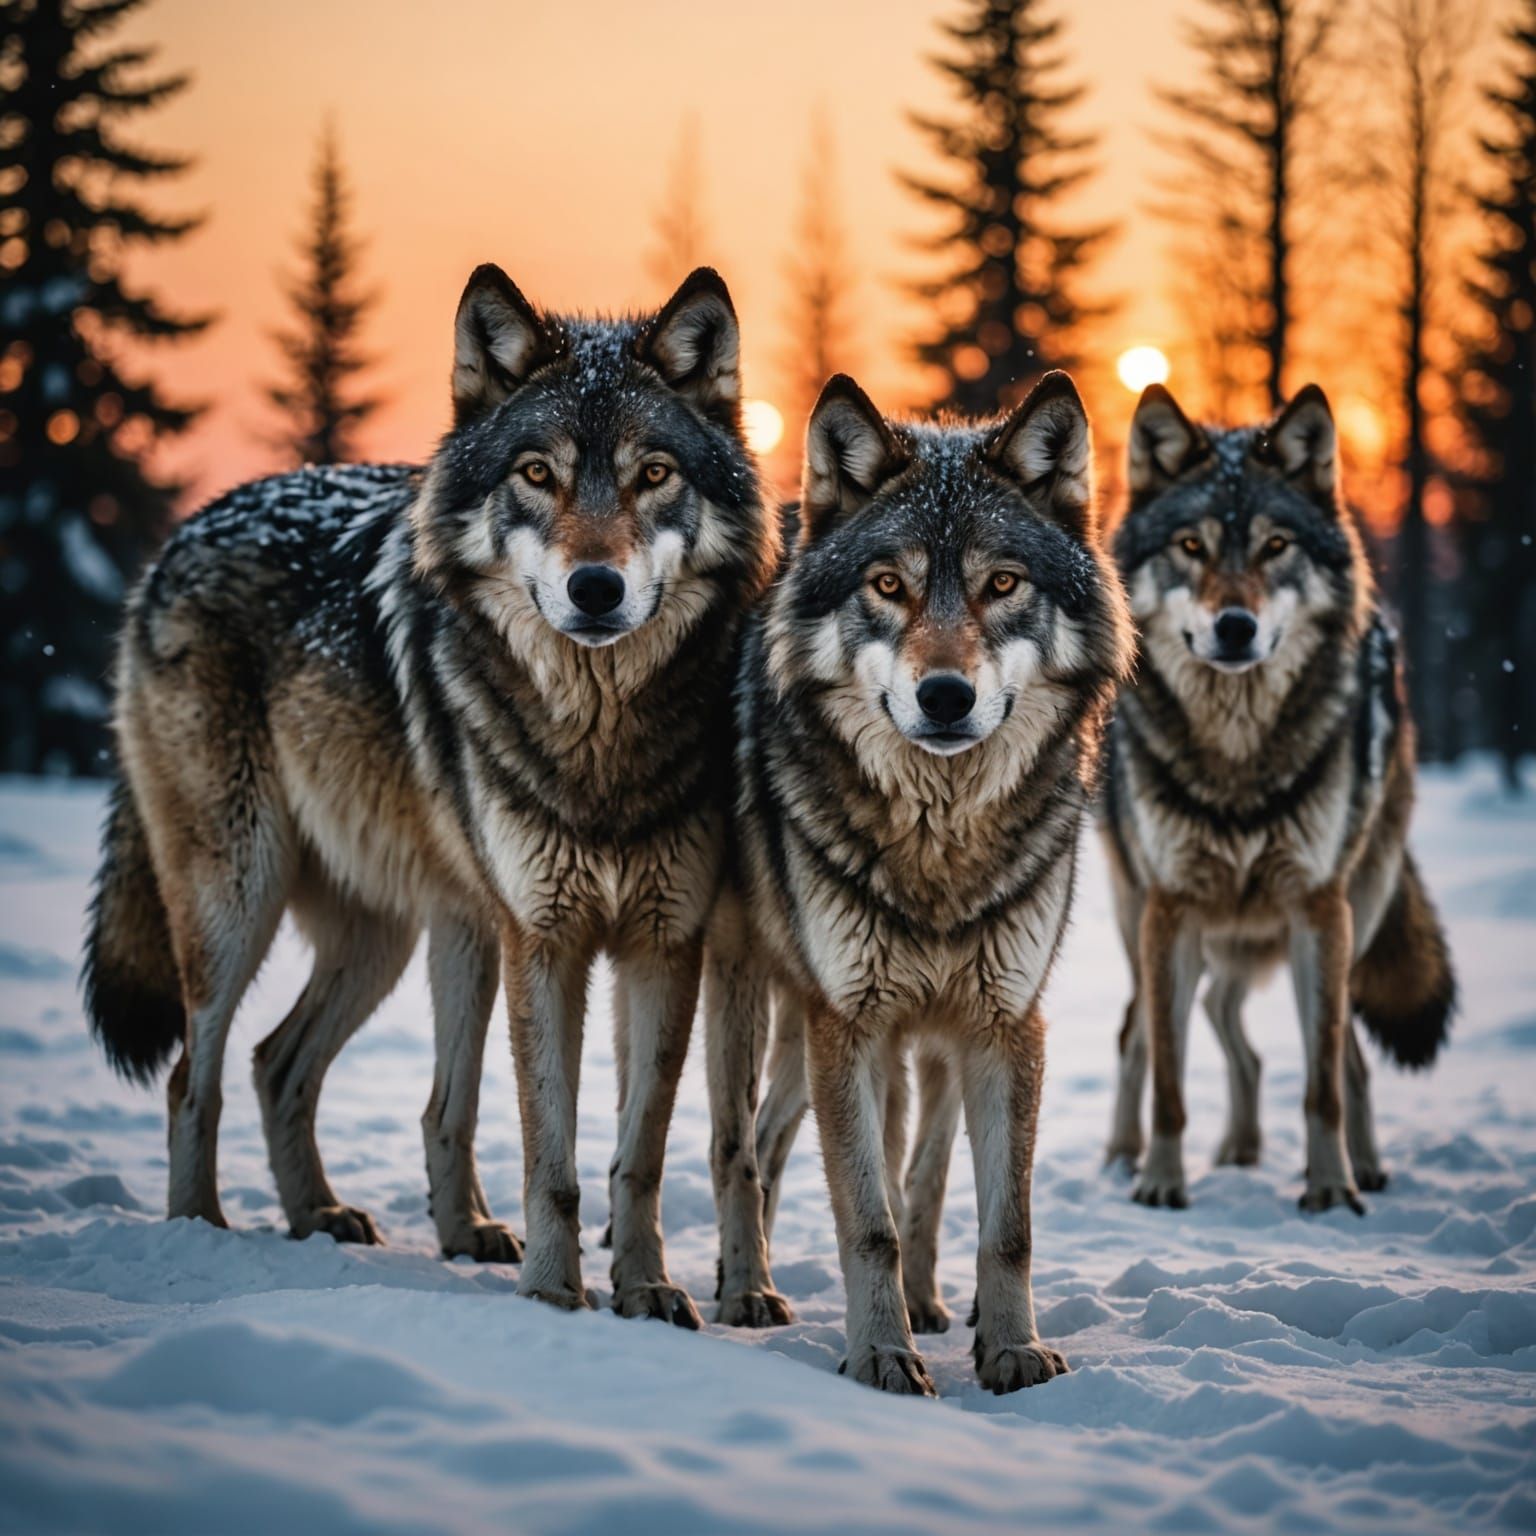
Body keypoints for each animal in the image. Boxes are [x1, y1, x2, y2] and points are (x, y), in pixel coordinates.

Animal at [83, 265, 774, 1326]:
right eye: (537, 474)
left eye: (654, 474)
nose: (596, 588)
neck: (599, 740)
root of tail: (184, 531)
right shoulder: (544, 936)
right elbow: (551, 1151)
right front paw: (554, 1295)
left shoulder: (665, 940)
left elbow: (639, 1151)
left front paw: (647, 1289)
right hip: (239, 900)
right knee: (193, 1076)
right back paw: (200, 1230)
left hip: (404, 934)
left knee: (281, 1064)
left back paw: (343, 1217)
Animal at [704, 371, 1133, 1393]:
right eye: (888, 585)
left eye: (1002, 583)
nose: (945, 696)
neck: (938, 844)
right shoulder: (849, 1024)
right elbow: (866, 1219)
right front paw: (882, 1354)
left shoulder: (1006, 1025)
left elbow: (1003, 1224)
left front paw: (1010, 1348)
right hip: (759, 1002)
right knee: (744, 1146)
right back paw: (747, 1288)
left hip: (920, 1041)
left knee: (917, 1169)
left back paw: (934, 1302)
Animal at [1102, 383, 1455, 1213]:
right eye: (1190, 547)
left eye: (1274, 546)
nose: (1236, 626)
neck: (1238, 760)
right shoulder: (1171, 908)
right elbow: (1168, 1072)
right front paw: (1160, 1182)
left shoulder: (1316, 906)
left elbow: (1322, 1078)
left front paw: (1330, 1188)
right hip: (1148, 920)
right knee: (1143, 1029)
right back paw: (1130, 1156)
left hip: (1348, 914)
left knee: (1338, 1052)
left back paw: (1353, 1164)